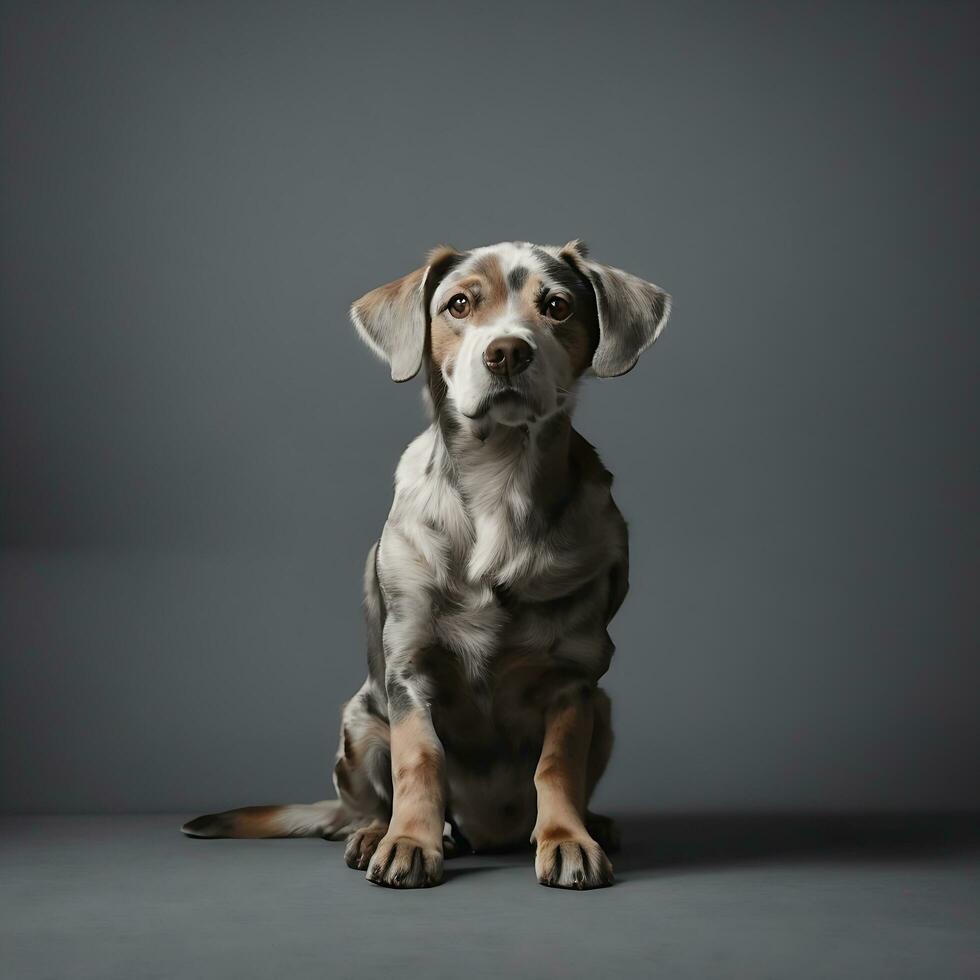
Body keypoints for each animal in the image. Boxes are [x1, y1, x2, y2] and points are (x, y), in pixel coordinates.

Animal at [182, 243, 672, 888]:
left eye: (557, 306)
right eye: (459, 304)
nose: (507, 351)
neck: (499, 481)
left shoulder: (575, 679)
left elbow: (556, 767)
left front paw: (567, 838)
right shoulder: (409, 668)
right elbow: (420, 759)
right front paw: (410, 841)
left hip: (605, 710)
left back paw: (589, 823)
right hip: (359, 722)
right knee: (366, 804)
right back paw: (383, 832)